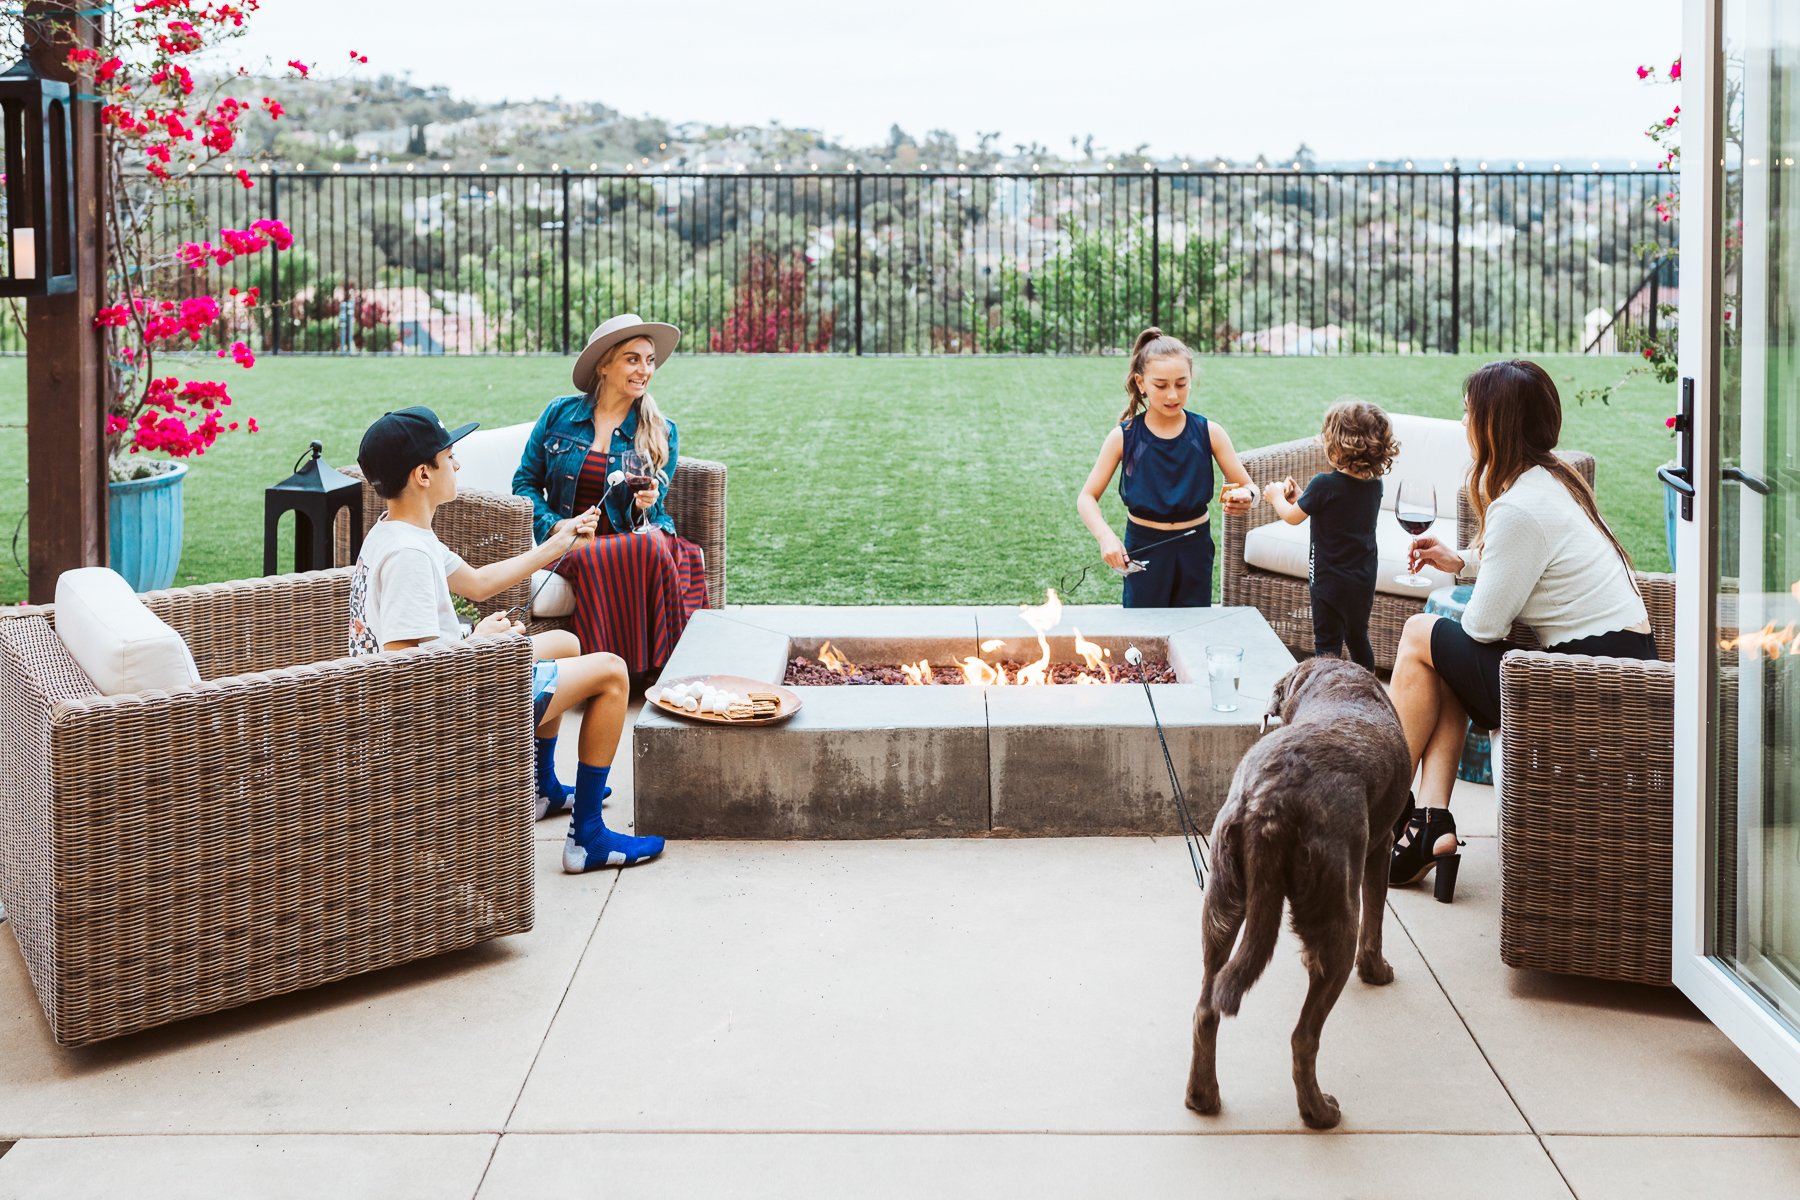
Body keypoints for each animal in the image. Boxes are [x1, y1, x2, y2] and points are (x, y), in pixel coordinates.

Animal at [1188, 651, 1411, 1129]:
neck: (1332, 679)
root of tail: (1268, 804)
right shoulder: (1380, 845)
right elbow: (1377, 920)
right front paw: (1378, 971)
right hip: (1336, 915)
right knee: (1303, 1036)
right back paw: (1319, 1112)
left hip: (1221, 899)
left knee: (1206, 1006)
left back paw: (1202, 1096)